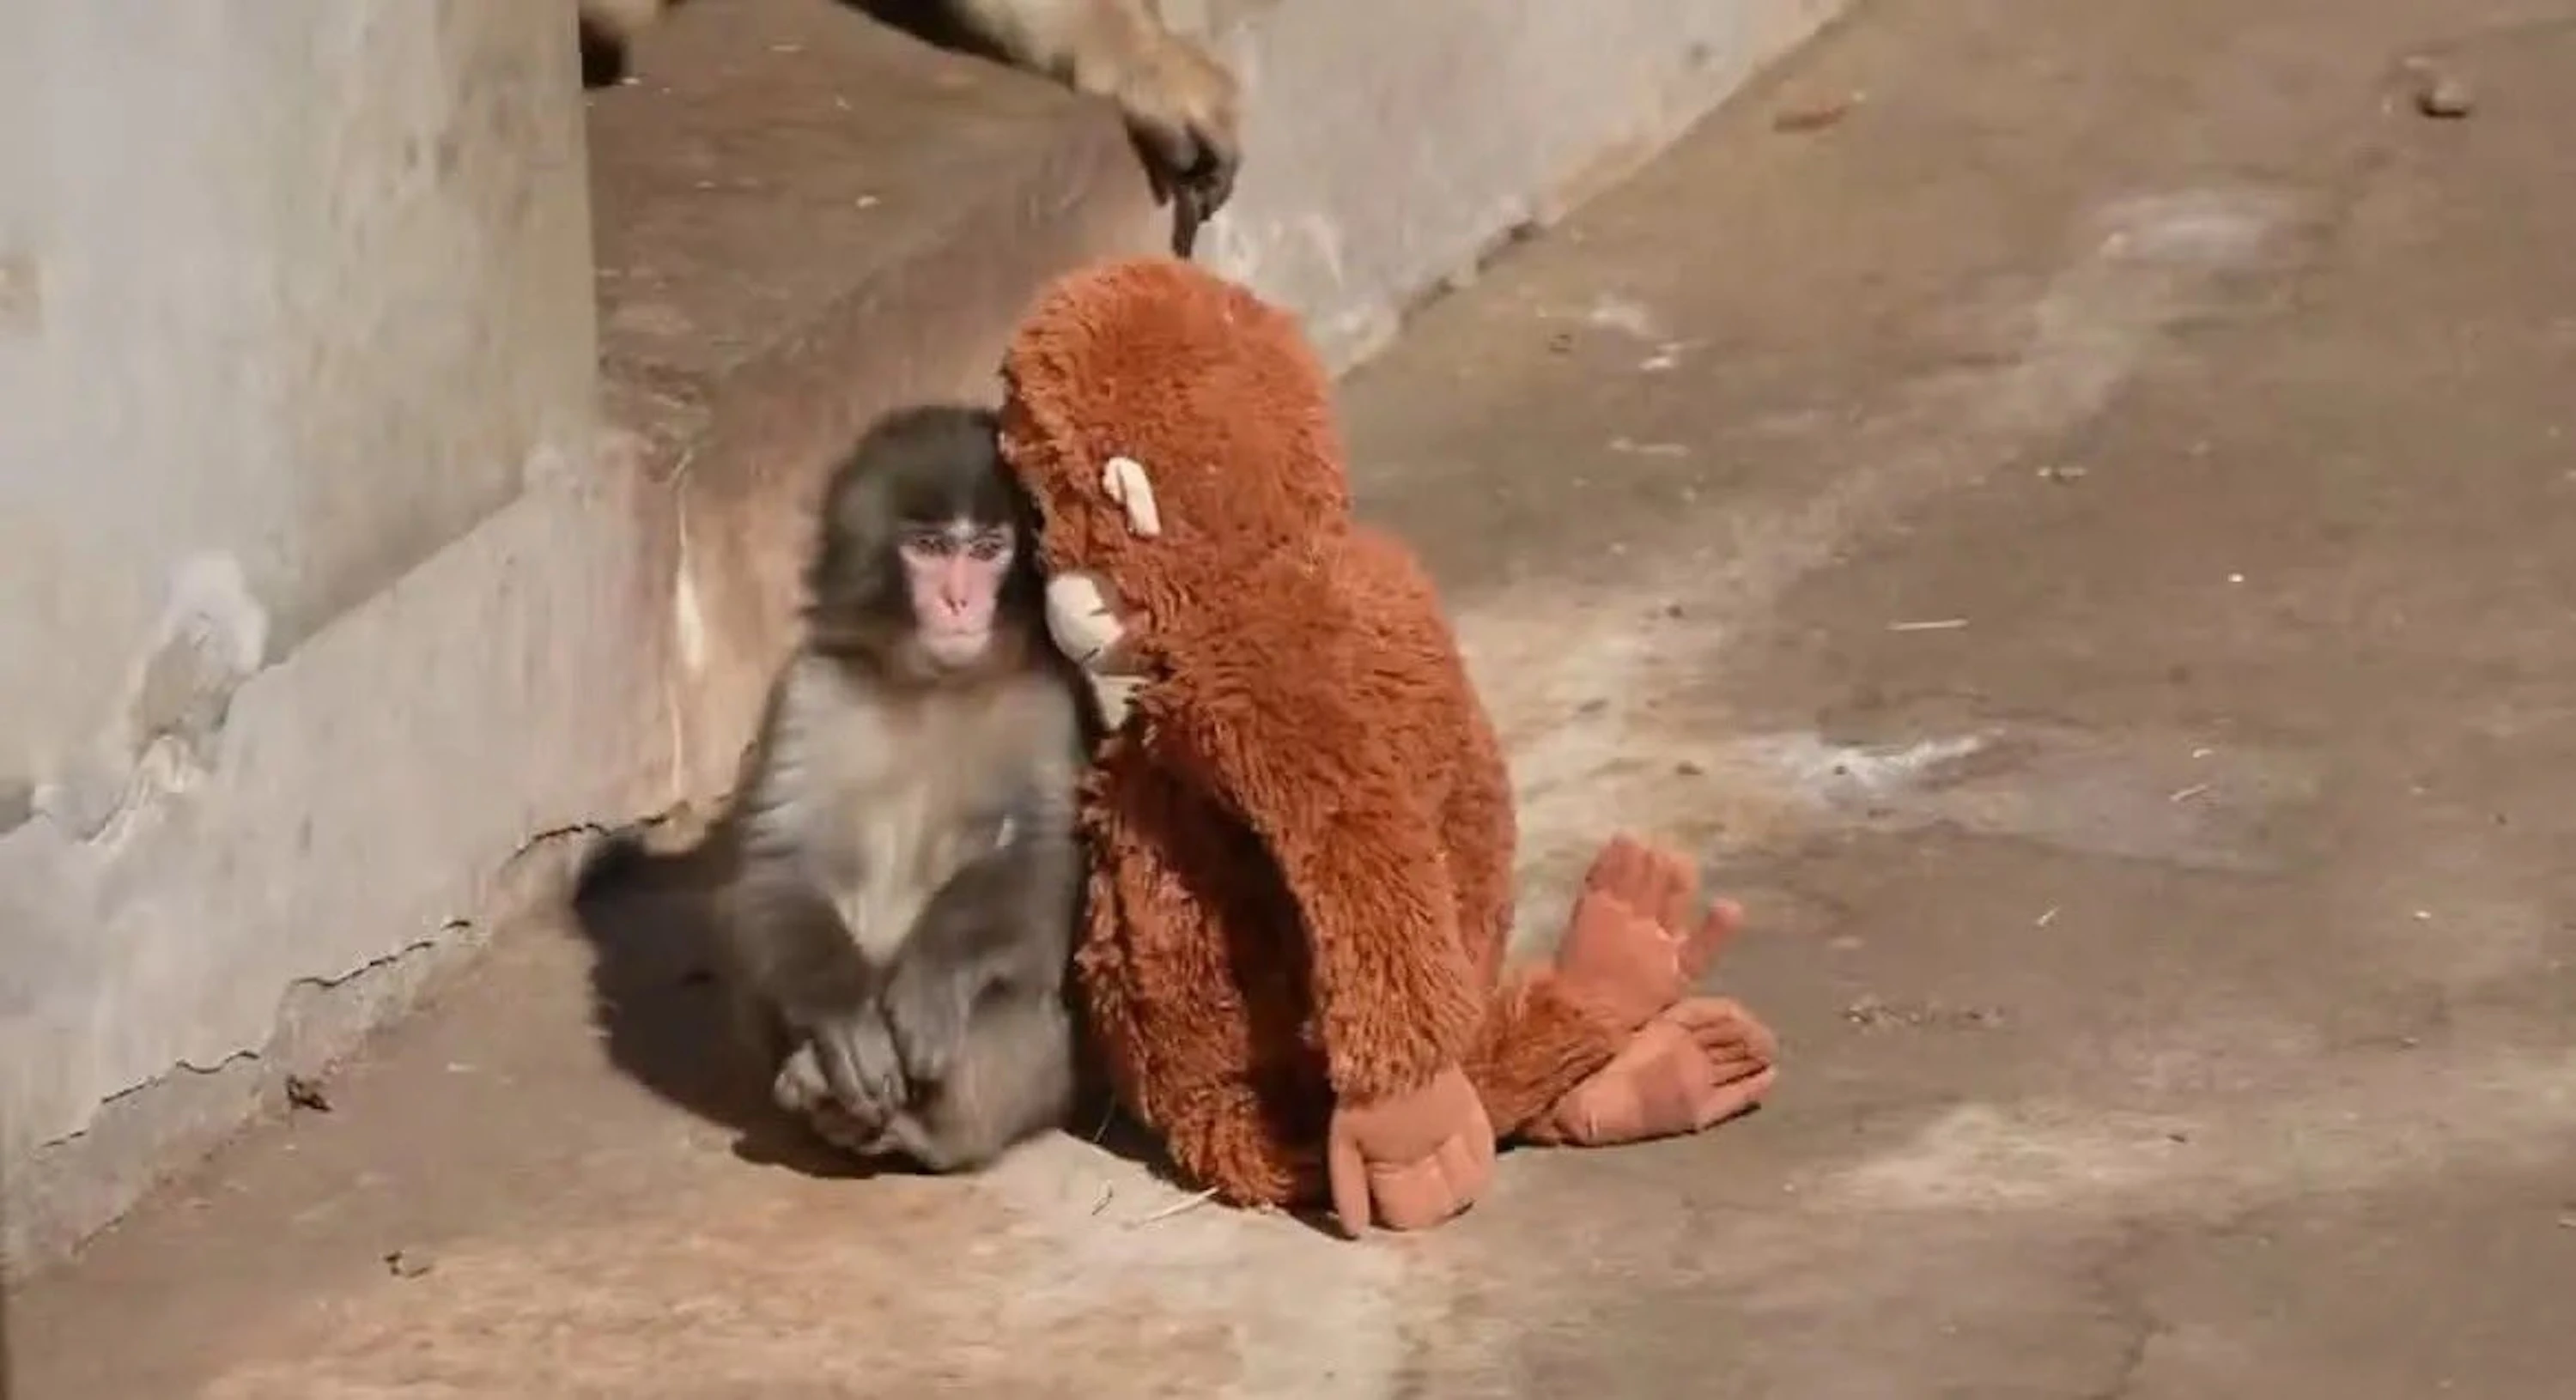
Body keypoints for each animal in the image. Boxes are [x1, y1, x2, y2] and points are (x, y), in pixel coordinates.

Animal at [715, 403, 1088, 1172]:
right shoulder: (811, 691)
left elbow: (1044, 858)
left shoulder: (1047, 701)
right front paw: (844, 1014)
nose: (958, 600)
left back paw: (929, 1132)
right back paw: (816, 1082)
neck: (932, 685)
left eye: (987, 549)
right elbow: (778, 863)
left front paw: (934, 978)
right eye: (928, 546)